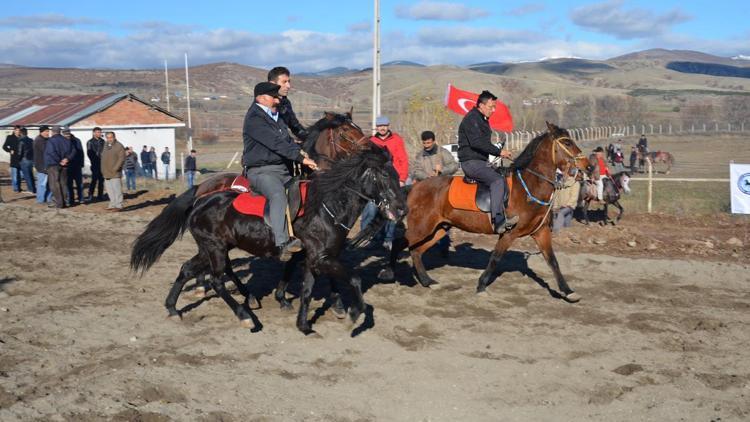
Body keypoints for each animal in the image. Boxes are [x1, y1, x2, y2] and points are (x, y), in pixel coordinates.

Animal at [132, 147, 408, 334]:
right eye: (384, 176)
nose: (401, 209)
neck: (327, 207)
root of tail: (200, 199)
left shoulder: (315, 257)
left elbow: (308, 290)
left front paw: (304, 323)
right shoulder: (320, 257)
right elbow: (353, 278)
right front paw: (353, 313)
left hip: (209, 248)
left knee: (187, 269)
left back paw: (172, 308)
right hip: (215, 249)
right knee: (217, 280)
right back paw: (245, 315)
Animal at [382, 122, 592, 304]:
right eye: (567, 143)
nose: (588, 166)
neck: (528, 188)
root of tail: (415, 187)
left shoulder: (541, 232)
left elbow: (552, 261)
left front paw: (568, 291)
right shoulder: (509, 233)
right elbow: (495, 258)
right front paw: (481, 285)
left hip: (438, 229)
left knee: (416, 251)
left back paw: (427, 281)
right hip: (422, 227)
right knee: (399, 243)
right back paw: (389, 272)